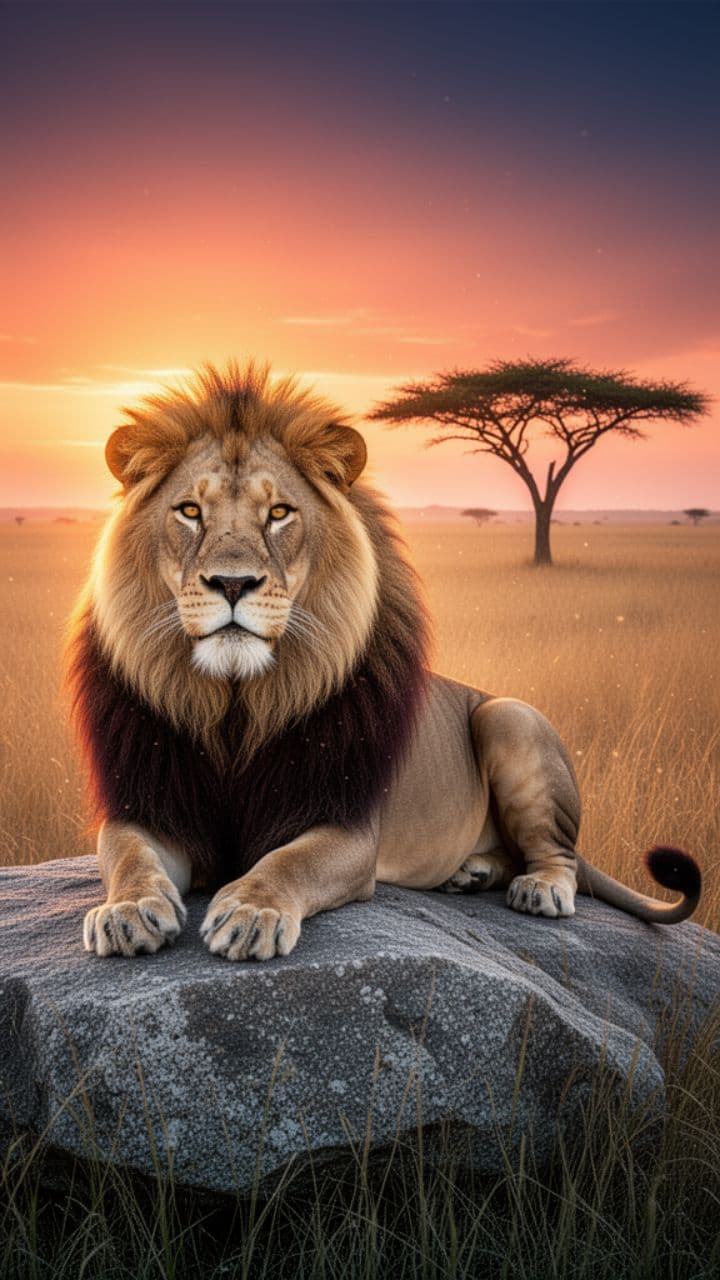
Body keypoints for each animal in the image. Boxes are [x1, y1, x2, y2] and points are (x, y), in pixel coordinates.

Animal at [65, 361, 701, 960]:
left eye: (279, 513)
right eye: (190, 511)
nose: (233, 583)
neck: (236, 707)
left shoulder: (346, 827)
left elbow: (287, 863)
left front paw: (251, 912)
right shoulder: (148, 803)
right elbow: (129, 855)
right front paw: (126, 911)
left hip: (509, 716)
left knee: (557, 853)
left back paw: (539, 889)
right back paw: (472, 872)